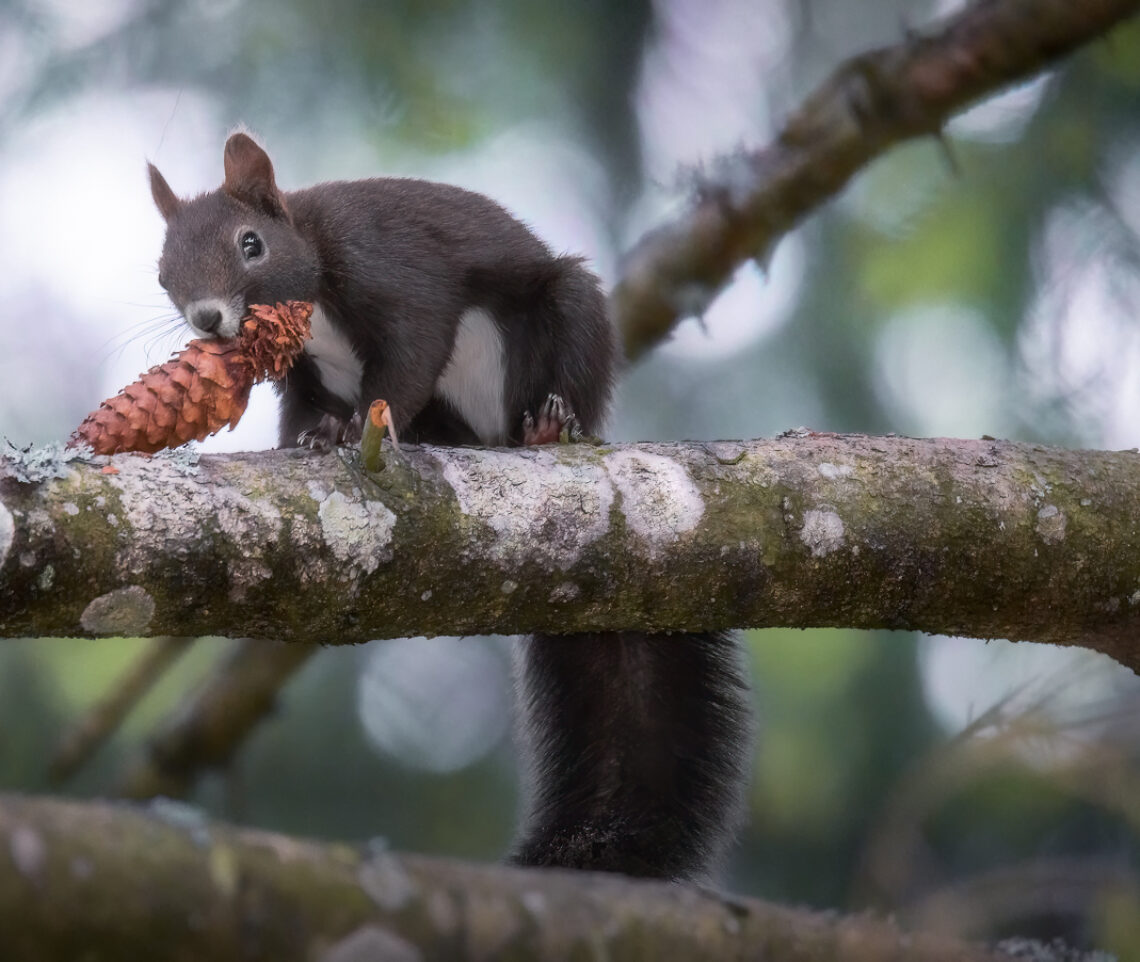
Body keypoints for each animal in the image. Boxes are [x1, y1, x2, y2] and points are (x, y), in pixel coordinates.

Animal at [149, 131, 756, 884]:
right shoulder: (303, 373)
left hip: (564, 318)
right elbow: (303, 408)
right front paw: (308, 440)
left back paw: (550, 428)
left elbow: (410, 354)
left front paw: (354, 430)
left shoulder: (391, 270)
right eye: (163, 273)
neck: (313, 303)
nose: (207, 320)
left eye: (250, 244)